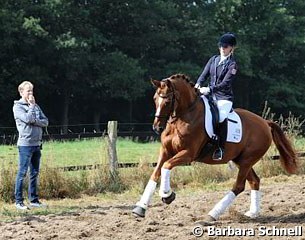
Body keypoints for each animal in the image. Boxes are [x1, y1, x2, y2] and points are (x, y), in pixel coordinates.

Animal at [131, 73, 296, 225]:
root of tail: (265, 123)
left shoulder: (188, 154)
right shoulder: (165, 151)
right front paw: (140, 208)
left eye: (167, 99)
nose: (157, 127)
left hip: (247, 160)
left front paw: (167, 195)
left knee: (239, 186)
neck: (184, 116)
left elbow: (166, 166)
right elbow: (155, 174)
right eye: (154, 99)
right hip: (241, 160)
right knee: (254, 181)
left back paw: (211, 215)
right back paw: (252, 213)